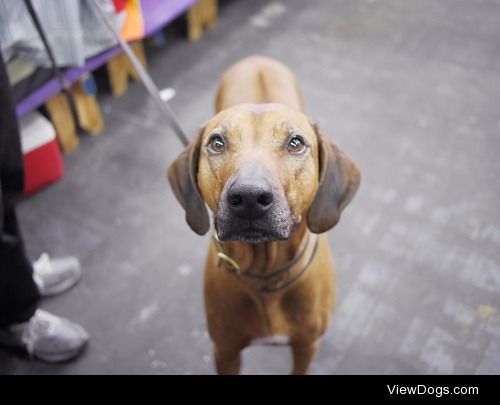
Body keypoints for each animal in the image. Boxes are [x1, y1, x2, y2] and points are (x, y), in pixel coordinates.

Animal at [170, 56, 362, 372]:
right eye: (217, 143)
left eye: (295, 143)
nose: (249, 197)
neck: (265, 274)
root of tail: (256, 59)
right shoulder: (225, 351)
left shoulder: (306, 346)